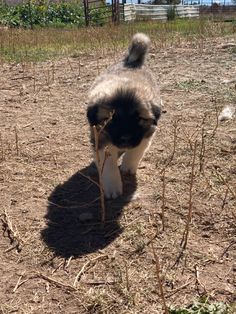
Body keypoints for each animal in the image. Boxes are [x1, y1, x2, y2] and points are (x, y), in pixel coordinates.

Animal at [87, 32, 161, 199]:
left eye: (139, 118)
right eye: (111, 119)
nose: (126, 139)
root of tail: (131, 62)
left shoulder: (147, 132)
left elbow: (136, 150)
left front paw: (128, 166)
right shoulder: (100, 137)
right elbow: (108, 164)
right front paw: (112, 186)